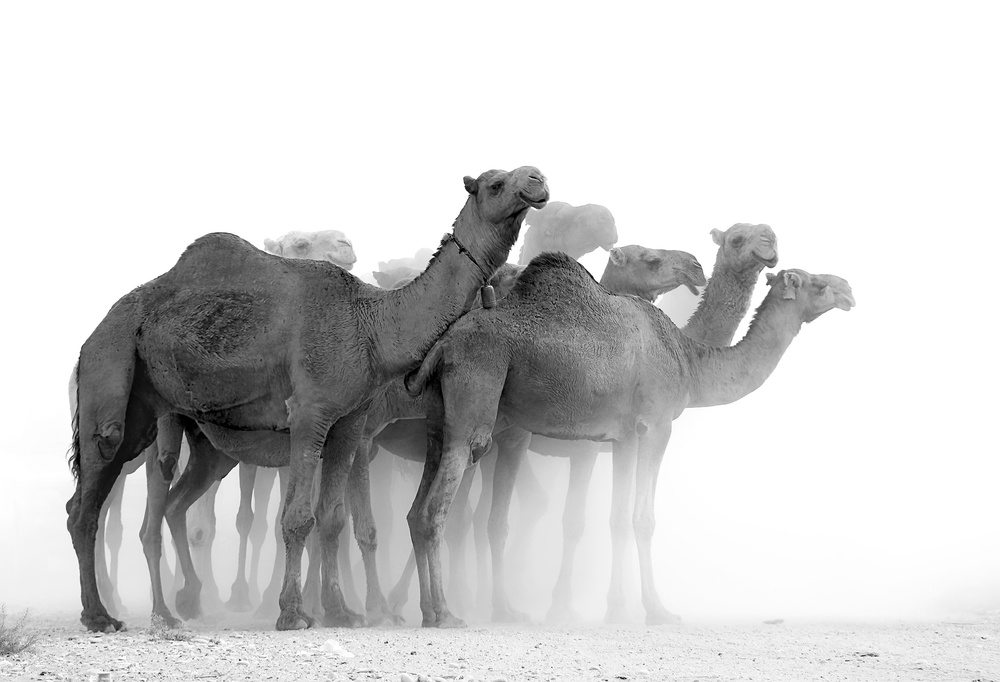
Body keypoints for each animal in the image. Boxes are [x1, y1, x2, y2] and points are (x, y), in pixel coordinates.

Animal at [66, 166, 548, 633]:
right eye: (495, 183)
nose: (538, 180)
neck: (371, 322)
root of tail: (91, 337)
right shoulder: (309, 414)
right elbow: (298, 517)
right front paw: (293, 613)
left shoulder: (349, 422)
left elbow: (331, 518)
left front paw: (341, 611)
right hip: (110, 373)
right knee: (95, 497)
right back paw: (105, 616)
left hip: (178, 429)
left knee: (148, 503)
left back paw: (159, 608)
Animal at [403, 256, 854, 627]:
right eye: (816, 283)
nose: (848, 288)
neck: (688, 361)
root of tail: (442, 346)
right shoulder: (656, 424)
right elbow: (644, 519)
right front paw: (657, 610)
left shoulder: (623, 436)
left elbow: (618, 519)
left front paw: (617, 610)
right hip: (476, 398)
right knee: (436, 508)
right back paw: (446, 614)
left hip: (438, 422)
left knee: (416, 509)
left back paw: (428, 611)